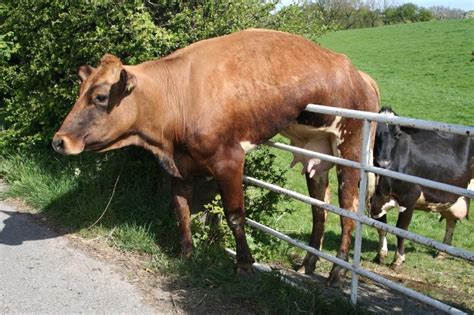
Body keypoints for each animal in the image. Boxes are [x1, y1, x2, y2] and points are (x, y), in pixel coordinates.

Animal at [52, 29, 378, 286]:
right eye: (80, 92)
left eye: (100, 97)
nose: (59, 141)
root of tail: (358, 74)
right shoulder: (177, 167)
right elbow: (181, 209)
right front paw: (186, 254)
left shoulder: (229, 160)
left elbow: (235, 215)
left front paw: (244, 264)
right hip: (317, 154)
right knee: (320, 210)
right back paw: (307, 265)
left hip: (351, 149)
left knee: (349, 212)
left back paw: (336, 274)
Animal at [372, 107, 472, 270]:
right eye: (375, 132)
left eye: (398, 134)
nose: (383, 163)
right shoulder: (374, 199)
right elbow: (381, 226)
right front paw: (380, 255)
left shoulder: (409, 197)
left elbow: (401, 229)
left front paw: (398, 260)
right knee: (451, 221)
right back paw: (442, 253)